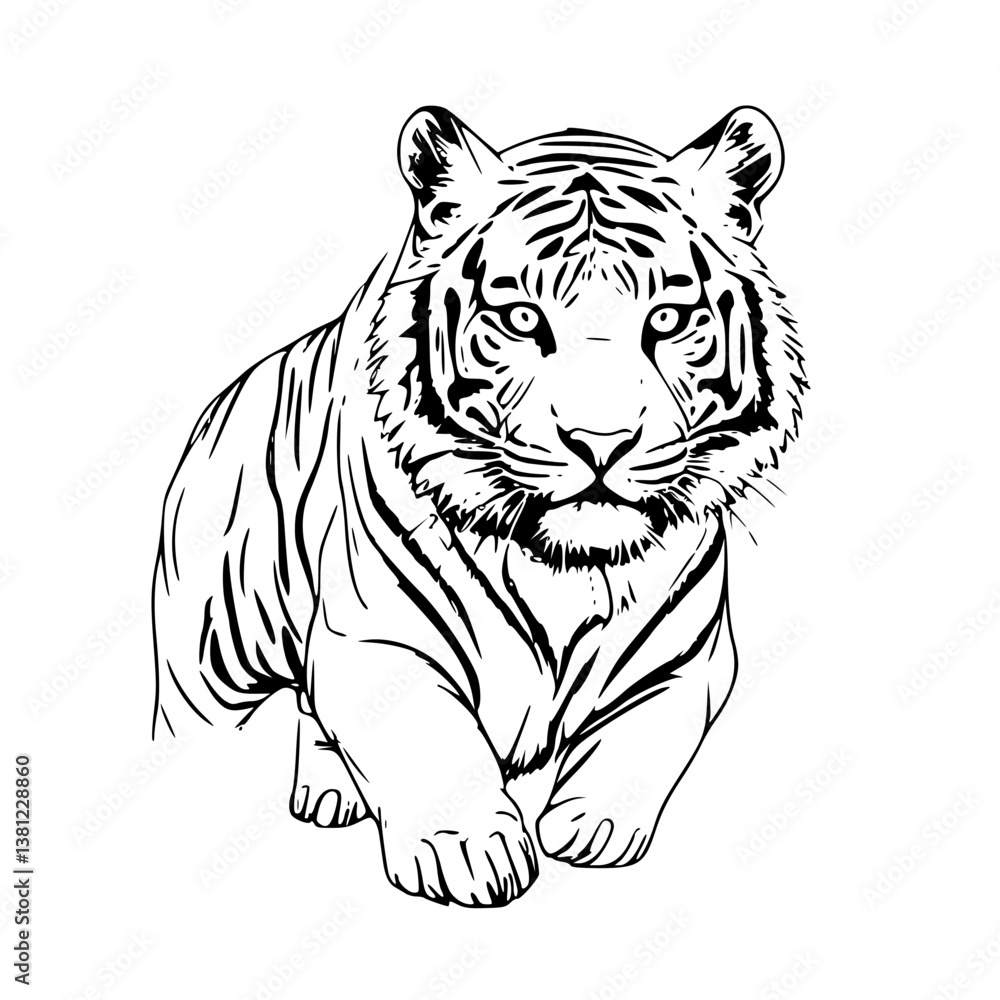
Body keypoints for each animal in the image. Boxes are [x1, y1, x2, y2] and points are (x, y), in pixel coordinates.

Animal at [152, 105, 806, 907]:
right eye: (523, 320)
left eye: (668, 320)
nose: (601, 441)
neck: (567, 564)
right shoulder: (380, 635)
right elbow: (430, 738)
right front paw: (466, 852)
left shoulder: (689, 658)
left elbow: (649, 730)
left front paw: (590, 828)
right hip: (206, 657)